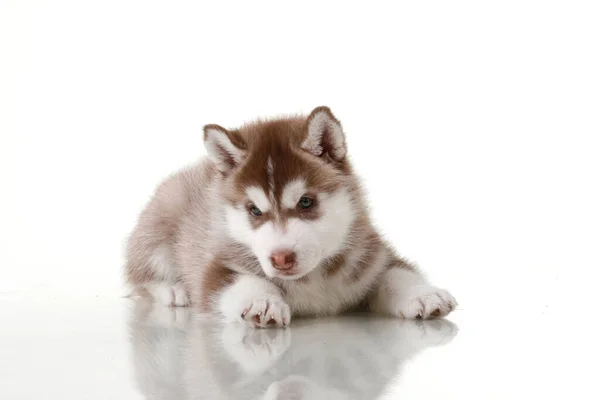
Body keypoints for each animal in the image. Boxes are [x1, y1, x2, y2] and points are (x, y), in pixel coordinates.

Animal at [124, 107, 458, 328]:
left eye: (306, 202)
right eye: (254, 210)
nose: (281, 258)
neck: (315, 277)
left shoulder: (373, 256)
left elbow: (396, 274)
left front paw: (423, 294)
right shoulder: (218, 266)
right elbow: (240, 282)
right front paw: (262, 300)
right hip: (160, 221)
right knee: (141, 277)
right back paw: (173, 289)